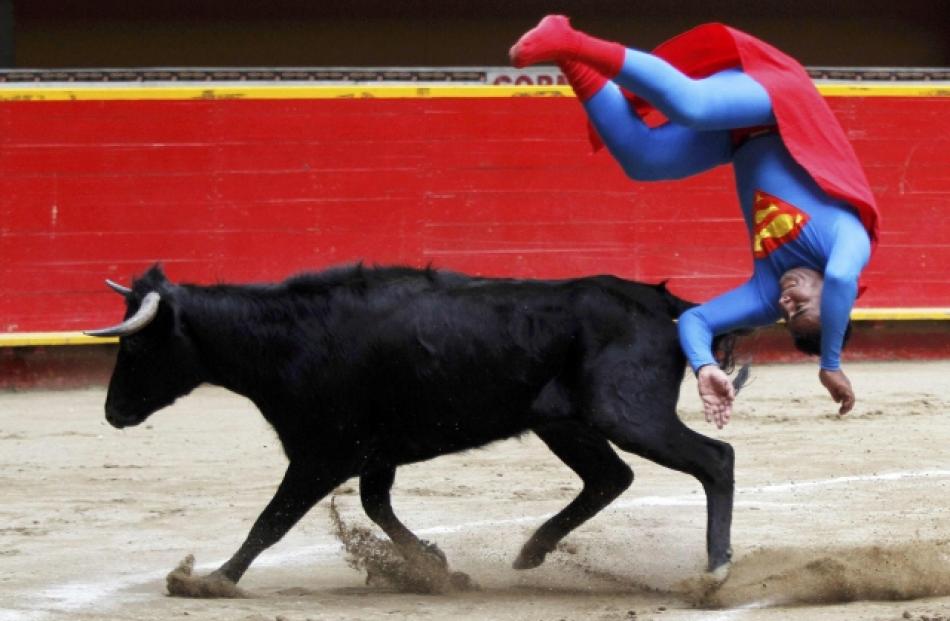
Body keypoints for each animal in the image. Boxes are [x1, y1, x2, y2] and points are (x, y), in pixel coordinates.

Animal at [87, 262, 744, 592]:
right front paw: (439, 568)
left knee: (715, 459)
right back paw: (531, 552)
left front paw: (212, 580)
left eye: (137, 347)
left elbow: (271, 520)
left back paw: (714, 571)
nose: (113, 413)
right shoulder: (373, 455)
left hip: (627, 414)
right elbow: (378, 507)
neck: (287, 338)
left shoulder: (320, 454)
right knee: (610, 477)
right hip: (569, 425)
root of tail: (670, 307)